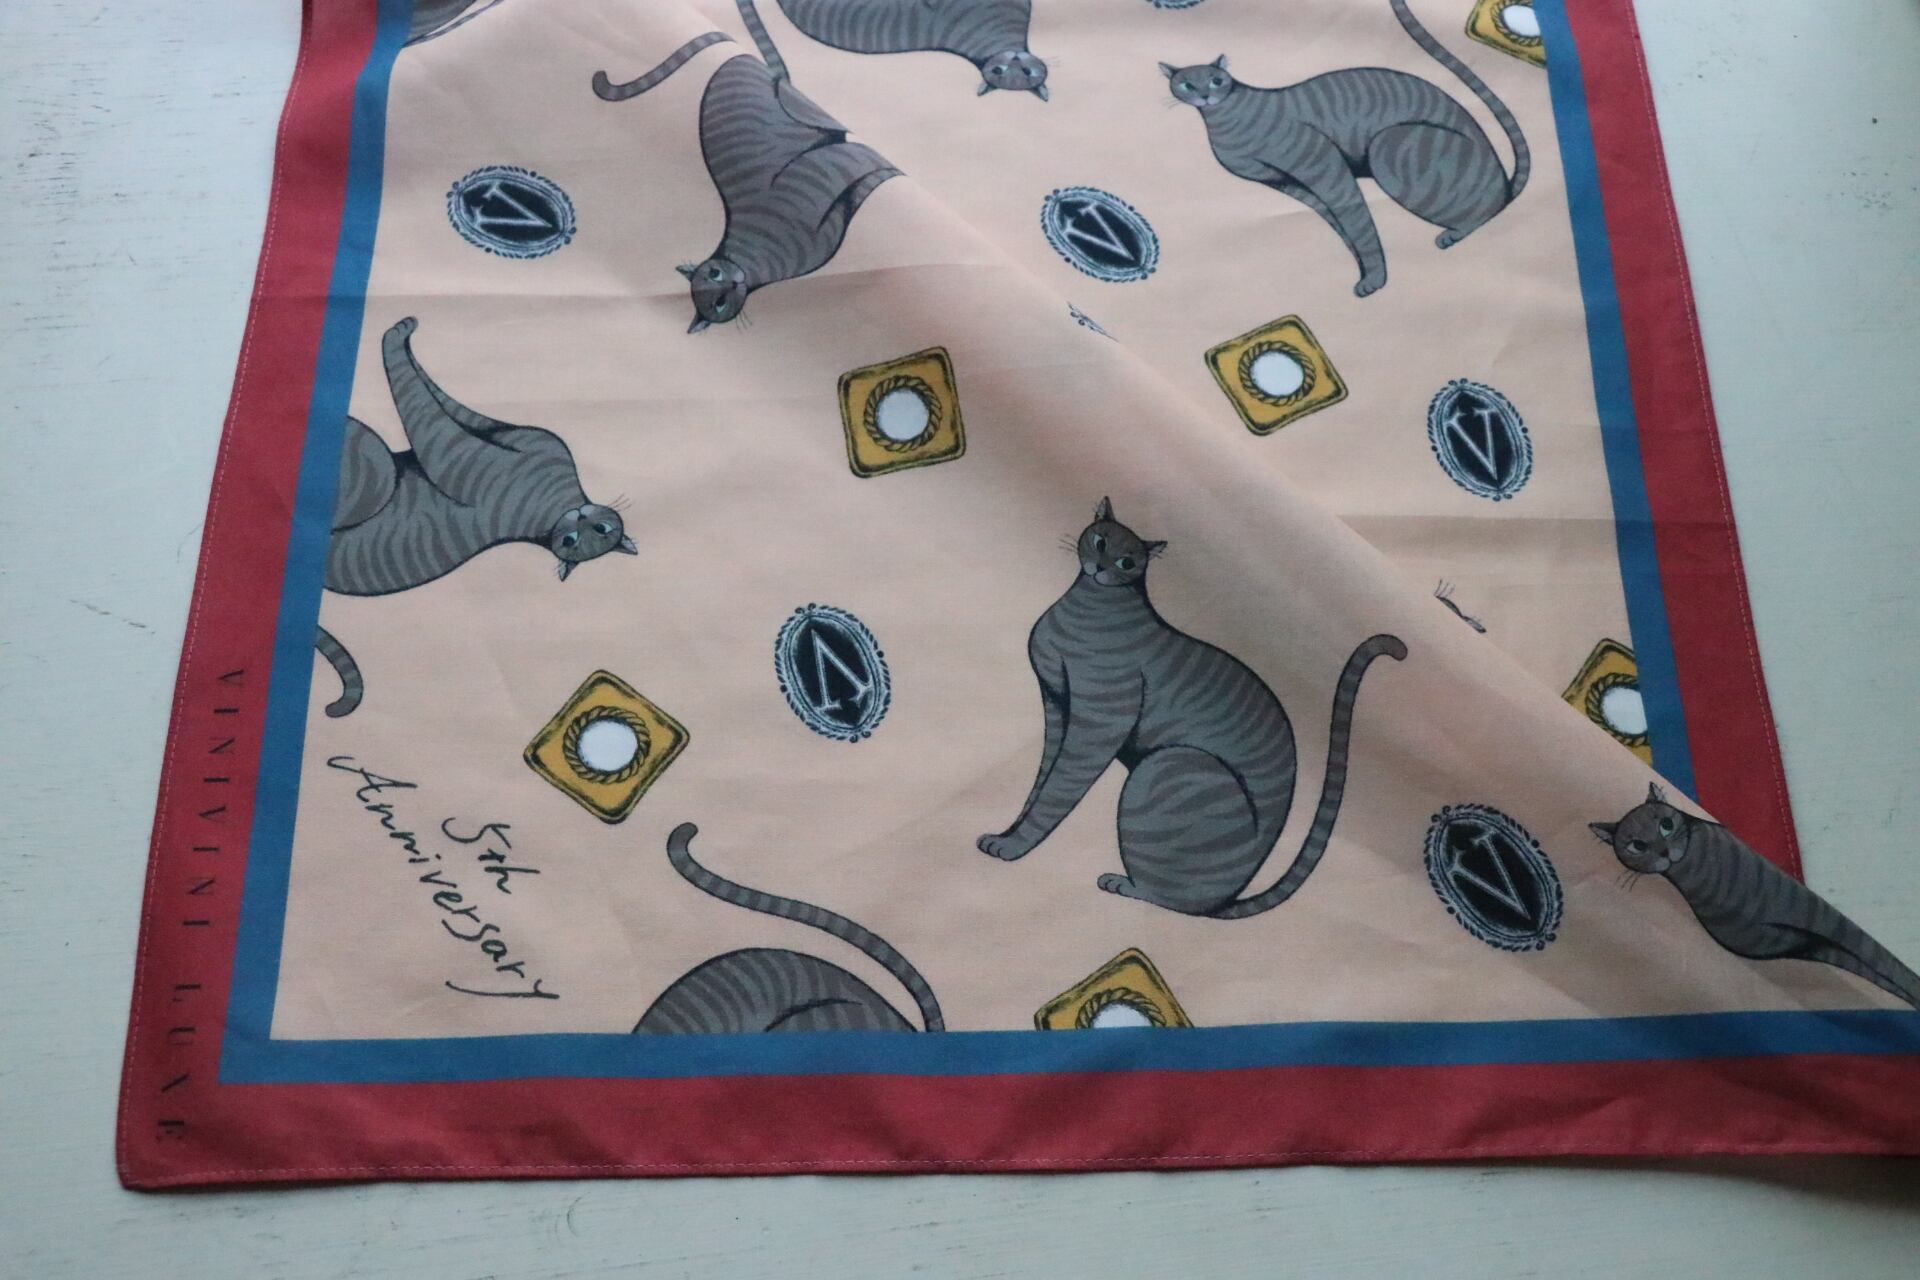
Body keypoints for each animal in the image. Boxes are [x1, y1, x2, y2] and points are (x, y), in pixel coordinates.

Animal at [313, 317, 634, 718]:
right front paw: (407, 333)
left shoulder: (442, 443)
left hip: (373, 474)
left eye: (574, 541)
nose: (577, 525)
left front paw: (397, 333)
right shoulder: (496, 430)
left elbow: (412, 390)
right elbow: (437, 393)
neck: (556, 506)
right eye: (591, 531)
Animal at [592, 9, 902, 333]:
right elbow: (865, 182)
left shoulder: (827, 175)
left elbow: (868, 167)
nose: (731, 284)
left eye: (715, 275)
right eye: (718, 303)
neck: (749, 262)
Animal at [978, 498, 1408, 917]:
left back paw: (1125, 885)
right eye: (1100, 542)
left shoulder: (1099, 723)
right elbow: (1039, 783)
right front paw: (1007, 833)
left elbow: (1055, 793)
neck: (1086, 608)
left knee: (1173, 900)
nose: (1101, 568)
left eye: (1127, 563)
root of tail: (1226, 902)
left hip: (1167, 766)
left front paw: (1014, 848)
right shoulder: (1055, 705)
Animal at [1162, 0, 1529, 297]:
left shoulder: (1326, 169)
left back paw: (1456, 232)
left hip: (1388, 146)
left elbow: (1359, 224)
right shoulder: (1291, 186)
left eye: (1216, 80)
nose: (1203, 95)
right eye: (1185, 84)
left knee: (1490, 209)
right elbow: (1344, 231)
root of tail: (1506, 181)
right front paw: (1367, 274)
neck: (1224, 121)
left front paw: (1375, 280)